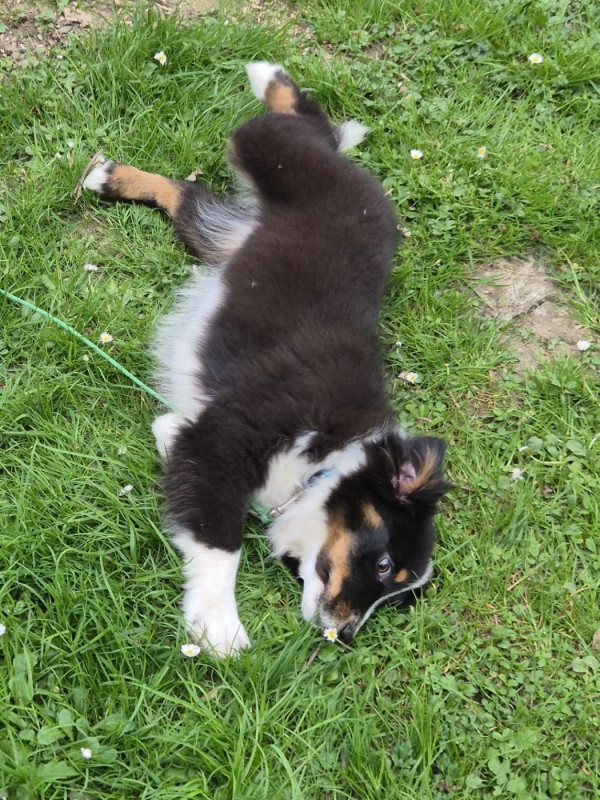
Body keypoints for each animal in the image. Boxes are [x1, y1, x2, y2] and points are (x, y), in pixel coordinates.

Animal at [83, 62, 446, 657]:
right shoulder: (228, 439)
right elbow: (219, 544)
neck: (327, 462)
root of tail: (352, 176)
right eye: (384, 564)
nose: (345, 636)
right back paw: (267, 76)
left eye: (396, 594)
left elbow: (175, 437)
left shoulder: (202, 435)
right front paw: (219, 630)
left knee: (188, 196)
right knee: (296, 120)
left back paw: (111, 177)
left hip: (215, 237)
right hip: (271, 150)